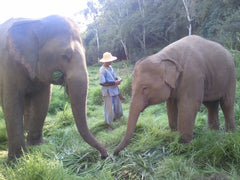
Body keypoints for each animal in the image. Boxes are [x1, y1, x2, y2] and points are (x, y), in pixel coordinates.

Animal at [0, 14, 108, 160]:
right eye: (65, 56)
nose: (104, 155)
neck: (36, 22)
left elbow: (42, 101)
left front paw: (37, 146)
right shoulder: (8, 63)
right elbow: (12, 102)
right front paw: (18, 160)